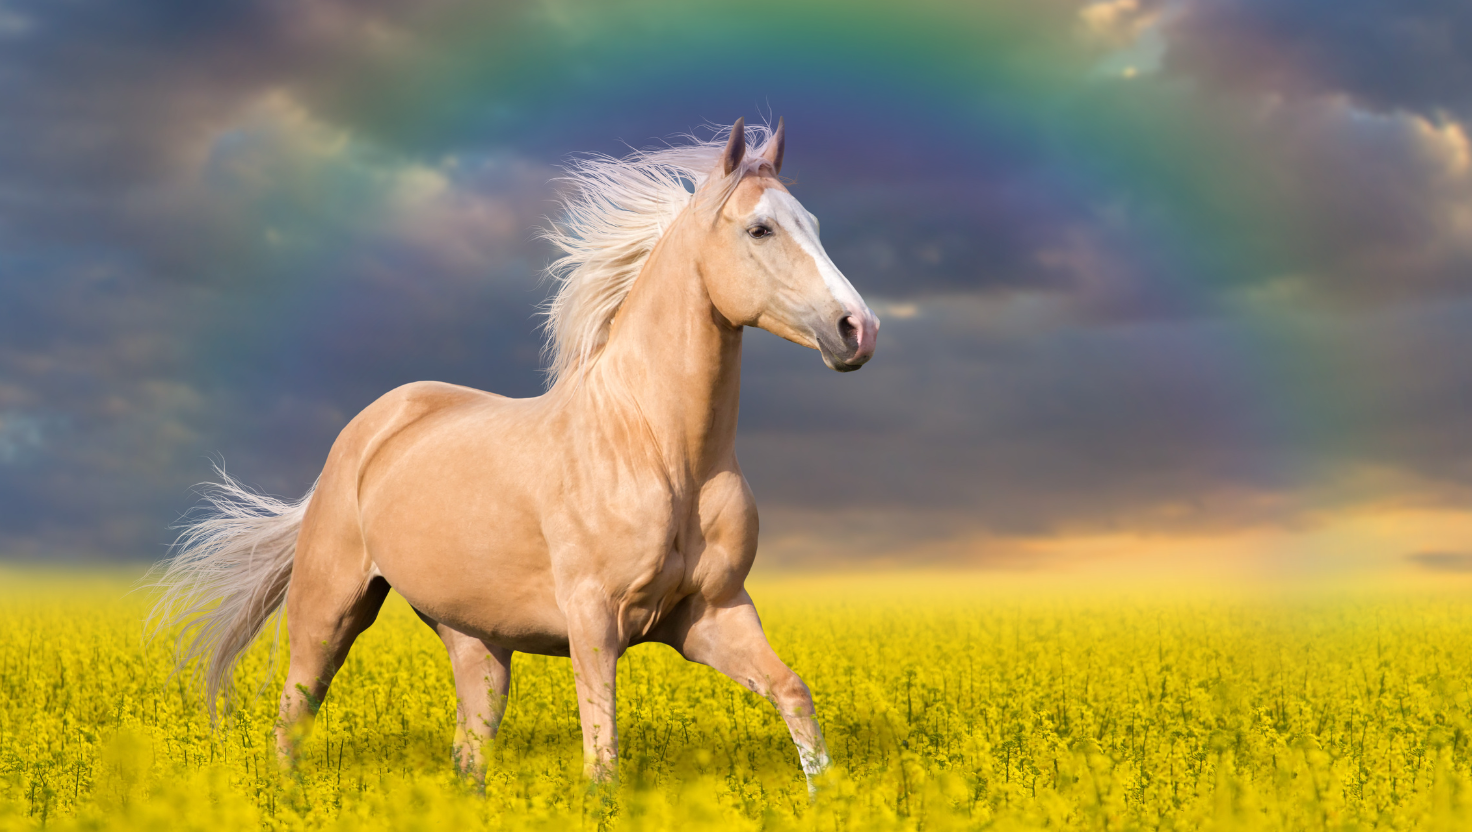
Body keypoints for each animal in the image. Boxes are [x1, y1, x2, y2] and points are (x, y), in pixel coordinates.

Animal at [148, 118, 879, 792]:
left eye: (812, 223)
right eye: (760, 230)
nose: (858, 330)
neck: (660, 451)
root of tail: (367, 431)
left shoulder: (711, 614)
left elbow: (794, 694)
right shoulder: (594, 621)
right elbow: (602, 758)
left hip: (475, 639)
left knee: (469, 747)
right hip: (328, 611)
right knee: (292, 717)